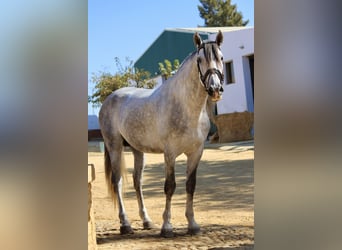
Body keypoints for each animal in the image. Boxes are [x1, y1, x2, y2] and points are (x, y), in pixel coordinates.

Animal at [98, 30, 224, 237]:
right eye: (199, 59)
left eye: (221, 57)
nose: (214, 89)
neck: (186, 107)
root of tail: (110, 98)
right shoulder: (170, 154)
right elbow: (170, 186)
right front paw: (167, 227)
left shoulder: (196, 153)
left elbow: (190, 185)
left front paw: (193, 224)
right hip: (114, 146)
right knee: (118, 182)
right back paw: (125, 224)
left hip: (137, 149)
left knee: (137, 182)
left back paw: (147, 221)